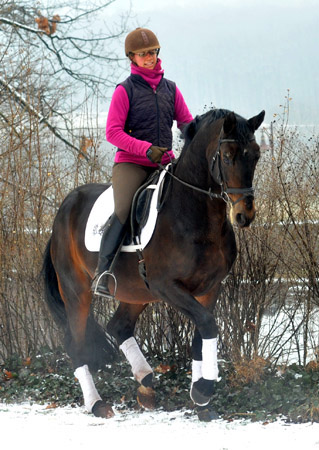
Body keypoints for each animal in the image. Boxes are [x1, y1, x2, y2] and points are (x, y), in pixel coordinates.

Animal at [43, 108, 266, 418]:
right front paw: (203, 389)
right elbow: (208, 324)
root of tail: (63, 209)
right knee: (76, 345)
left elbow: (201, 335)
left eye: (255, 154)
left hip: (134, 290)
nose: (244, 215)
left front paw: (201, 400)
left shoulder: (210, 288)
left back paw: (145, 382)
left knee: (119, 326)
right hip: (77, 291)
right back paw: (97, 403)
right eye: (227, 155)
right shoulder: (166, 286)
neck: (195, 215)